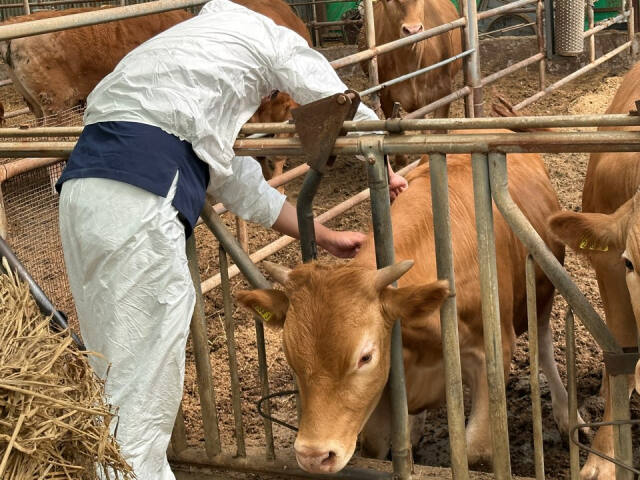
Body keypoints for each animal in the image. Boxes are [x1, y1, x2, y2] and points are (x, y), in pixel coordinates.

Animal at [238, 142, 576, 472]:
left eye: (365, 357)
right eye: (291, 357)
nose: (313, 455)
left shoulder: (491, 357)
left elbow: (476, 452)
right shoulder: (384, 388)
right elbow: (377, 449)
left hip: (543, 294)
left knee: (544, 344)